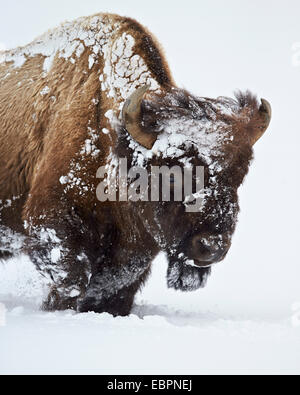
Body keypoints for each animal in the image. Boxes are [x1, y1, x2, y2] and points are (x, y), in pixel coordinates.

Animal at [0, 12, 272, 318]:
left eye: (239, 175)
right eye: (171, 175)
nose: (211, 246)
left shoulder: (135, 247)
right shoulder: (51, 221)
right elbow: (71, 281)